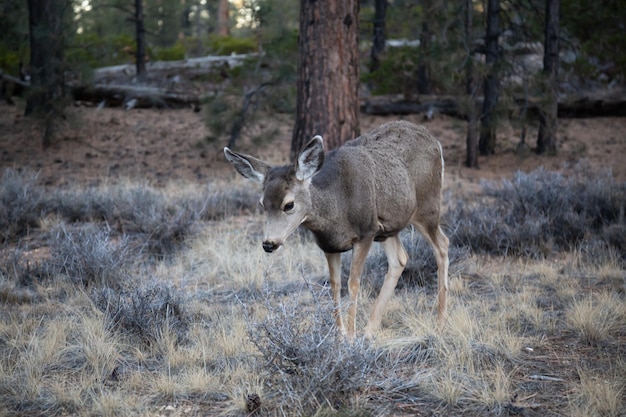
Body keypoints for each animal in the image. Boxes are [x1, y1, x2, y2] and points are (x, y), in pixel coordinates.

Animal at [224, 120, 448, 338]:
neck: (337, 209)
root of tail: (435, 141)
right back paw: (370, 331)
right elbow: (334, 286)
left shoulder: (366, 231)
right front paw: (339, 337)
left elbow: (353, 284)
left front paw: (350, 338)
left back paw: (439, 322)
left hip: (427, 206)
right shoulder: (330, 245)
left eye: (289, 204)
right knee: (400, 259)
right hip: (388, 228)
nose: (269, 243)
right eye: (262, 204)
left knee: (442, 245)